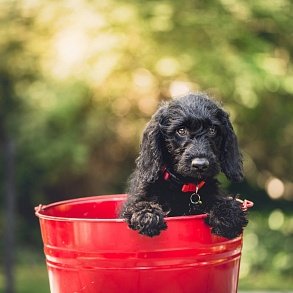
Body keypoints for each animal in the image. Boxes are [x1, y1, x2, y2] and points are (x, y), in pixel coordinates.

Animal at [120, 92, 246, 238]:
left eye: (212, 130)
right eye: (181, 131)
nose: (200, 165)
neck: (185, 185)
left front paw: (227, 214)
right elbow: (139, 204)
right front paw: (147, 216)